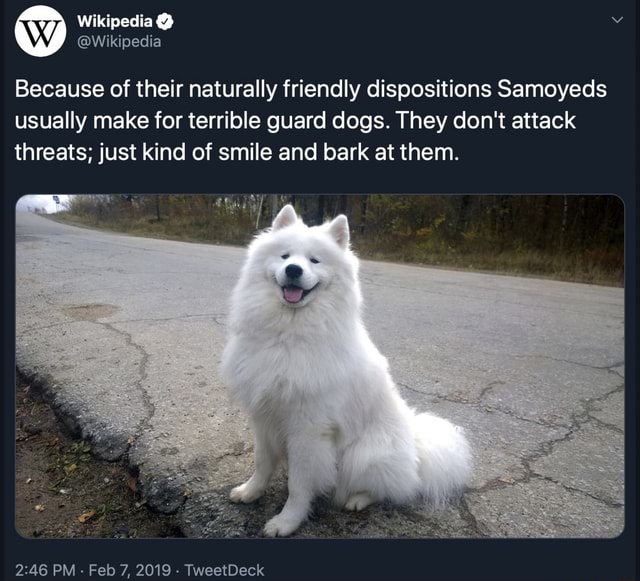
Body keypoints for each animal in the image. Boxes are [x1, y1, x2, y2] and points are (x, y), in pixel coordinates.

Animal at [222, 204, 472, 536]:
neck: (288, 333)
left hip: (363, 454)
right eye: (285, 256)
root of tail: (416, 449)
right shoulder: (264, 415)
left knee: (389, 488)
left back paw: (357, 500)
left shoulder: (307, 428)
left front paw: (287, 521)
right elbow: (262, 462)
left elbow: (299, 484)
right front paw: (251, 492)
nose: (293, 270)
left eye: (314, 260)